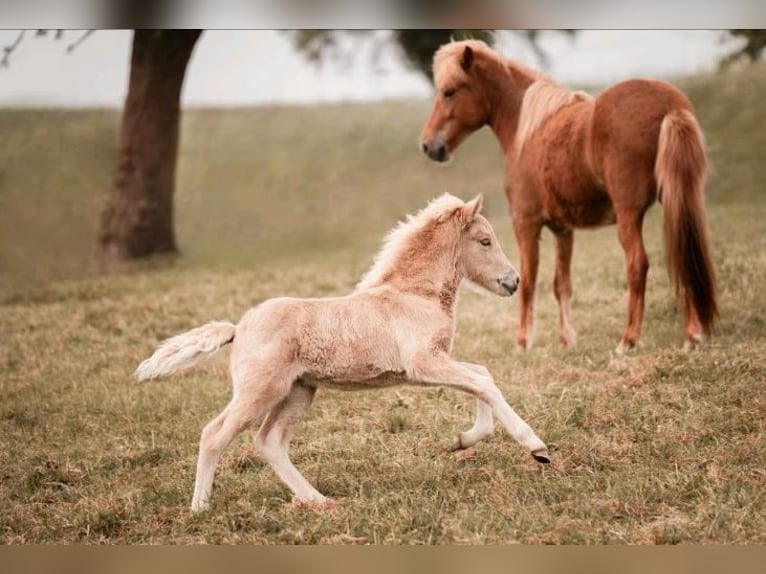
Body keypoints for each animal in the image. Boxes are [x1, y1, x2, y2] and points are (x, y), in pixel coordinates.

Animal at [420, 40, 720, 354]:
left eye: (449, 91)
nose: (429, 146)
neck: (530, 130)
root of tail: (671, 108)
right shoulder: (562, 229)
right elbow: (561, 284)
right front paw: (567, 340)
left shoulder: (526, 223)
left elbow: (528, 282)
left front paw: (523, 343)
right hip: (679, 200)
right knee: (684, 254)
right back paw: (692, 335)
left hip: (630, 214)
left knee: (638, 264)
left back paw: (628, 340)